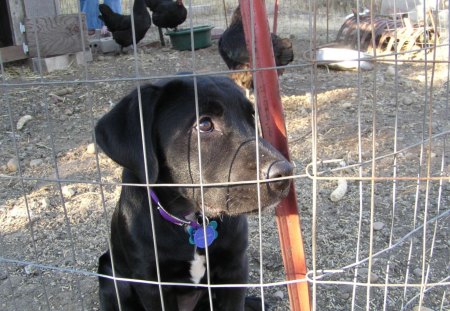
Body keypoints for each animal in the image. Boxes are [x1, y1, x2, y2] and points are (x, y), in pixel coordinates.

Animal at [96, 76, 292, 311]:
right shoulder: (153, 285)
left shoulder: (235, 267)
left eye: (252, 117)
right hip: (110, 277)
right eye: (205, 124)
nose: (285, 173)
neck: (191, 220)